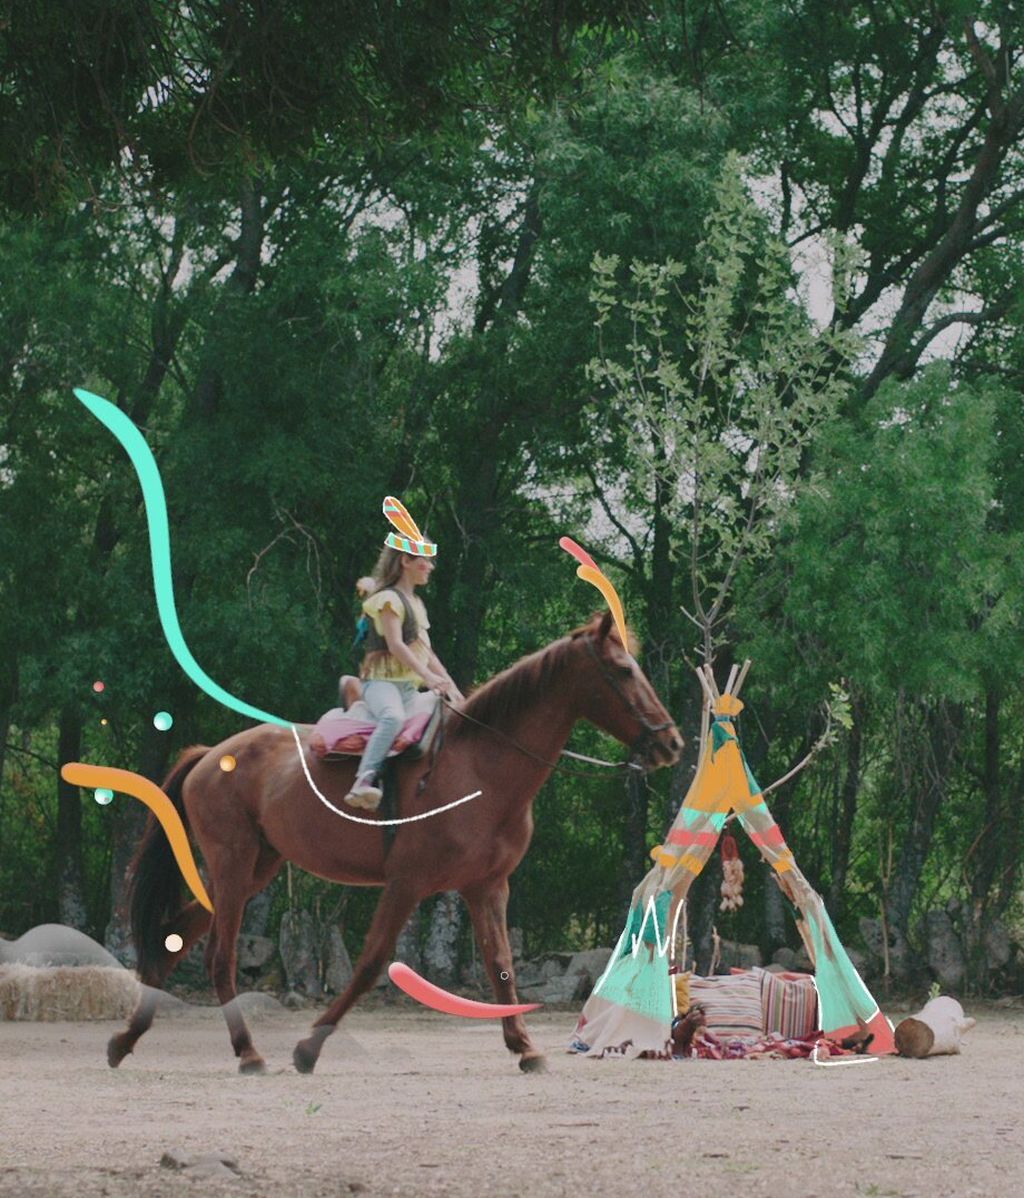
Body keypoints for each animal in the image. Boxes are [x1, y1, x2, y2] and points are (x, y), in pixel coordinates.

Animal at [110, 610, 683, 1074]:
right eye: (624, 671)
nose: (672, 741)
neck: (481, 767)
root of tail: (209, 756)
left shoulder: (487, 887)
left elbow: (500, 965)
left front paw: (525, 1048)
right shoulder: (407, 883)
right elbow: (371, 963)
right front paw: (309, 1048)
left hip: (254, 870)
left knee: (175, 937)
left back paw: (126, 1039)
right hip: (232, 869)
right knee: (219, 957)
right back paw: (248, 1052)